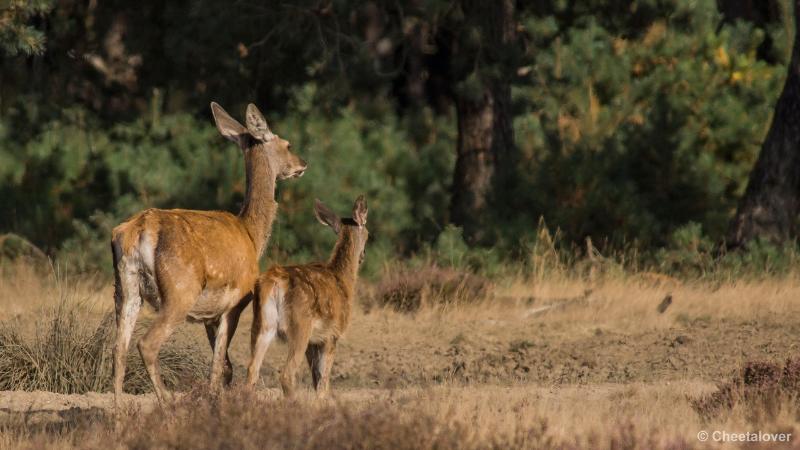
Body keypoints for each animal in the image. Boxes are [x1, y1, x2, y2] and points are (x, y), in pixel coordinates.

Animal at [109, 102, 304, 408]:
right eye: (287, 144)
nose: (302, 164)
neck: (251, 234)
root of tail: (140, 229)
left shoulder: (210, 315)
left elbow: (225, 366)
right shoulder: (236, 300)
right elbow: (221, 365)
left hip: (125, 288)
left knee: (119, 348)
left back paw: (118, 413)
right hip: (180, 290)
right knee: (146, 344)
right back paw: (168, 404)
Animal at [247, 196, 368, 398]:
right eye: (368, 233)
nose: (362, 256)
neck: (343, 279)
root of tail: (275, 281)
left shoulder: (314, 340)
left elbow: (315, 378)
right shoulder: (332, 333)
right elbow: (323, 381)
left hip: (262, 323)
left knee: (252, 369)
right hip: (299, 325)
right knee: (287, 374)